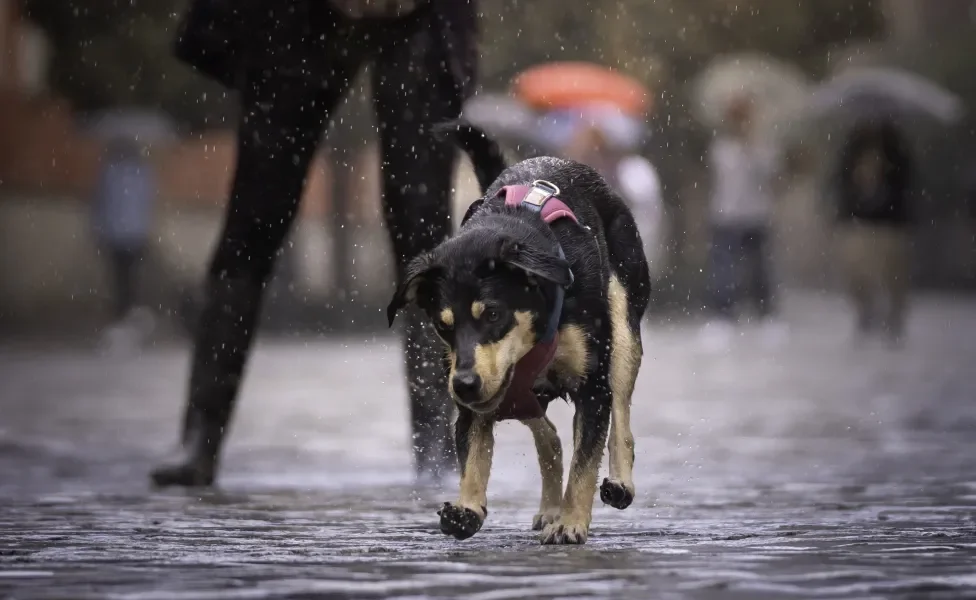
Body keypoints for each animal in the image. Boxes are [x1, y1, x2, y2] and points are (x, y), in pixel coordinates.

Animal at [386, 124, 648, 548]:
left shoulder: (592, 388)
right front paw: (466, 509)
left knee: (621, 413)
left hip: (623, 329)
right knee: (550, 437)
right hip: (517, 393)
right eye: (443, 325)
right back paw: (550, 507)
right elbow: (474, 452)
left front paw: (572, 522)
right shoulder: (479, 393)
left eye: (493, 313)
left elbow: (584, 463)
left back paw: (619, 484)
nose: (464, 384)